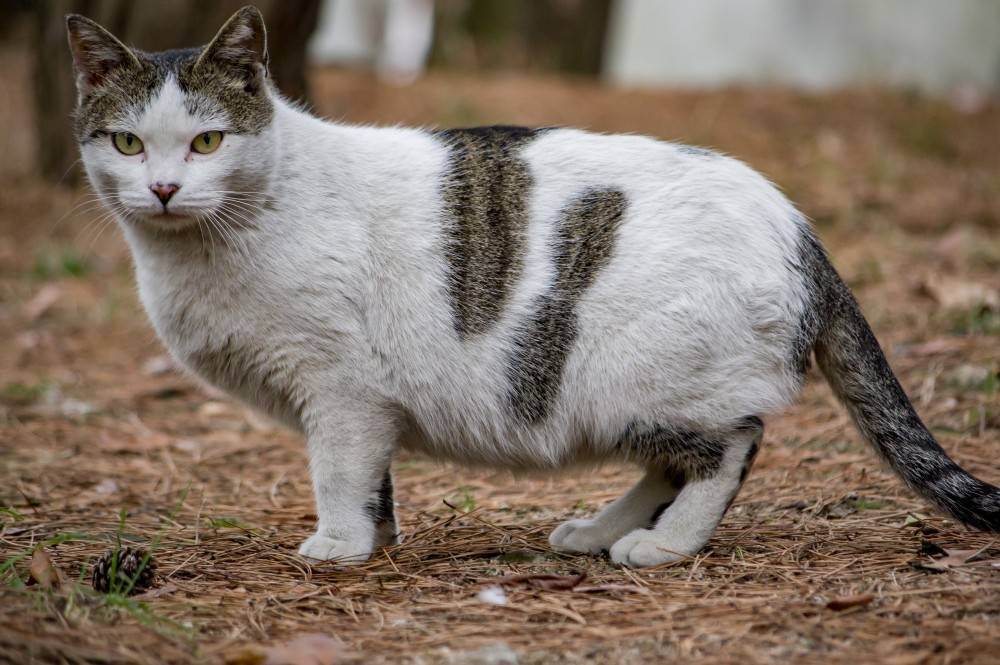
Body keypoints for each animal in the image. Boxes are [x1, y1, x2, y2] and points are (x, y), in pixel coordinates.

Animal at [66, 3, 996, 564]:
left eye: (208, 142)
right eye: (126, 143)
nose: (163, 189)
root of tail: (803, 231)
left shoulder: (341, 391)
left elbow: (338, 472)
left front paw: (339, 544)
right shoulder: (366, 407)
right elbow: (375, 480)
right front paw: (380, 538)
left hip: (649, 374)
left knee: (727, 449)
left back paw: (665, 546)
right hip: (629, 392)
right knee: (668, 465)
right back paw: (597, 531)